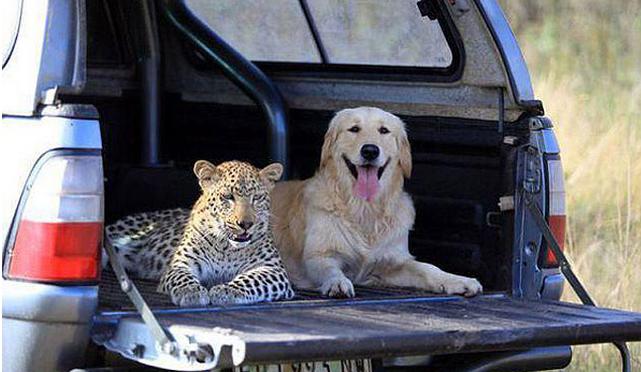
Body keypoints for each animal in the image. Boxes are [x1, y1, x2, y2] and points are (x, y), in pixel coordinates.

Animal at [105, 161, 296, 308]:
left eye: (256, 198)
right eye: (228, 197)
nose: (246, 224)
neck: (227, 248)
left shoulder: (273, 269)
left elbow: (252, 280)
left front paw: (227, 291)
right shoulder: (180, 265)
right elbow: (182, 278)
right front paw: (191, 292)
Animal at [270, 107, 480, 296]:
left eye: (384, 130)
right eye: (354, 129)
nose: (370, 150)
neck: (364, 209)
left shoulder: (392, 262)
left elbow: (427, 268)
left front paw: (458, 280)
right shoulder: (319, 255)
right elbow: (328, 269)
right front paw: (337, 282)